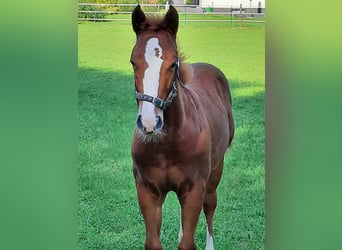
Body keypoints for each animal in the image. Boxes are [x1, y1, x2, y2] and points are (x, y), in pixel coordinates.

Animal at [130, 4, 234, 249]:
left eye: (172, 64)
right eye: (132, 62)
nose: (149, 123)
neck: (168, 144)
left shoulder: (195, 189)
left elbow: (188, 243)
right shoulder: (147, 191)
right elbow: (153, 242)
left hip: (215, 171)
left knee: (210, 205)